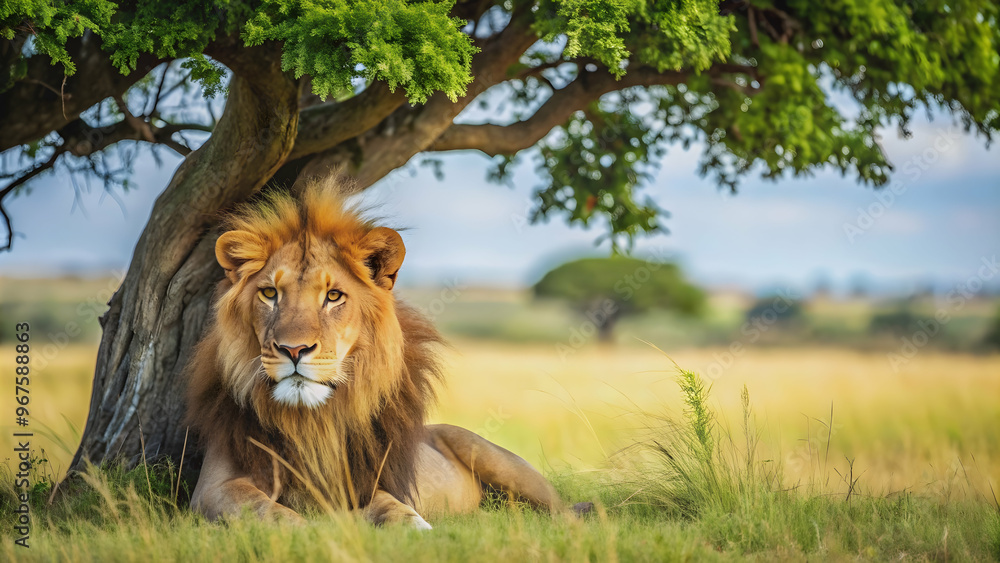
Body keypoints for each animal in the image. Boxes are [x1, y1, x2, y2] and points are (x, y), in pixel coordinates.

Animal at [185, 181, 564, 529]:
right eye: (269, 293)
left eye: (333, 296)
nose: (294, 350)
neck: (312, 421)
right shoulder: (213, 488)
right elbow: (271, 511)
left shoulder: (363, 481)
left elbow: (392, 504)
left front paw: (416, 526)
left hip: (497, 460)